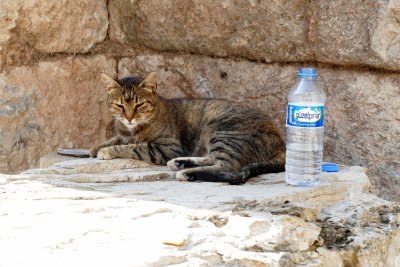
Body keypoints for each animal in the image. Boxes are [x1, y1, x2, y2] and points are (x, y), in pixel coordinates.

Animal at [90, 71, 284, 185]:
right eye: (120, 106)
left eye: (139, 105)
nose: (129, 118)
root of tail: (280, 140)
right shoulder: (124, 133)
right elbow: (116, 138)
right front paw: (97, 147)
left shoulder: (167, 147)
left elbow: (134, 147)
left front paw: (107, 151)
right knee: (213, 159)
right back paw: (181, 163)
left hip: (225, 132)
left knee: (227, 166)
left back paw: (186, 172)